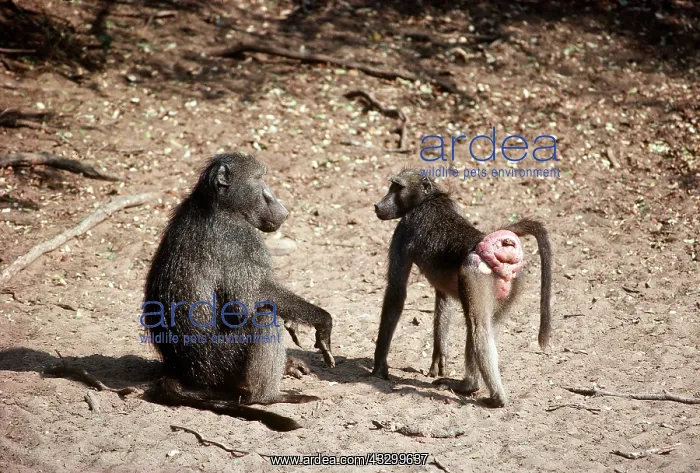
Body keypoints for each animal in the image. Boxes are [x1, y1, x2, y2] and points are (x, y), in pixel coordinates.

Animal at [142, 153, 335, 431]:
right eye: (259, 179)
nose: (282, 208)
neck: (217, 205)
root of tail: (180, 370)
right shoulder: (239, 238)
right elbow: (250, 297)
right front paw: (322, 321)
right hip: (218, 363)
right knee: (264, 318)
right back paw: (270, 396)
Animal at [371, 170, 552, 407]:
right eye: (391, 186)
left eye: (397, 187)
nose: (378, 205)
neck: (429, 199)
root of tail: (485, 241)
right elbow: (443, 299)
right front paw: (439, 359)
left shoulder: (405, 227)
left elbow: (396, 291)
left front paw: (379, 366)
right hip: (513, 284)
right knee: (484, 326)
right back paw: (470, 385)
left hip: (472, 272)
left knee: (478, 328)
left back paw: (484, 393)